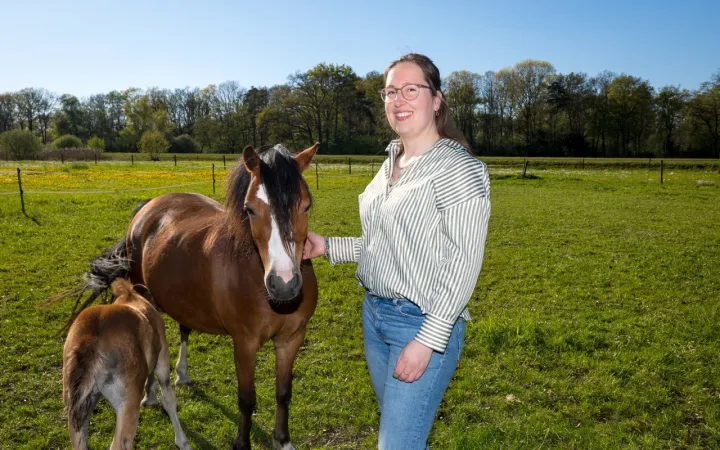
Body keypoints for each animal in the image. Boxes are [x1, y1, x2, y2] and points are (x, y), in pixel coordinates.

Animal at [60, 279, 191, 450]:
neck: (131, 298)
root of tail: (91, 340)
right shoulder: (162, 358)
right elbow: (169, 399)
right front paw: (183, 442)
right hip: (127, 402)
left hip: (77, 410)